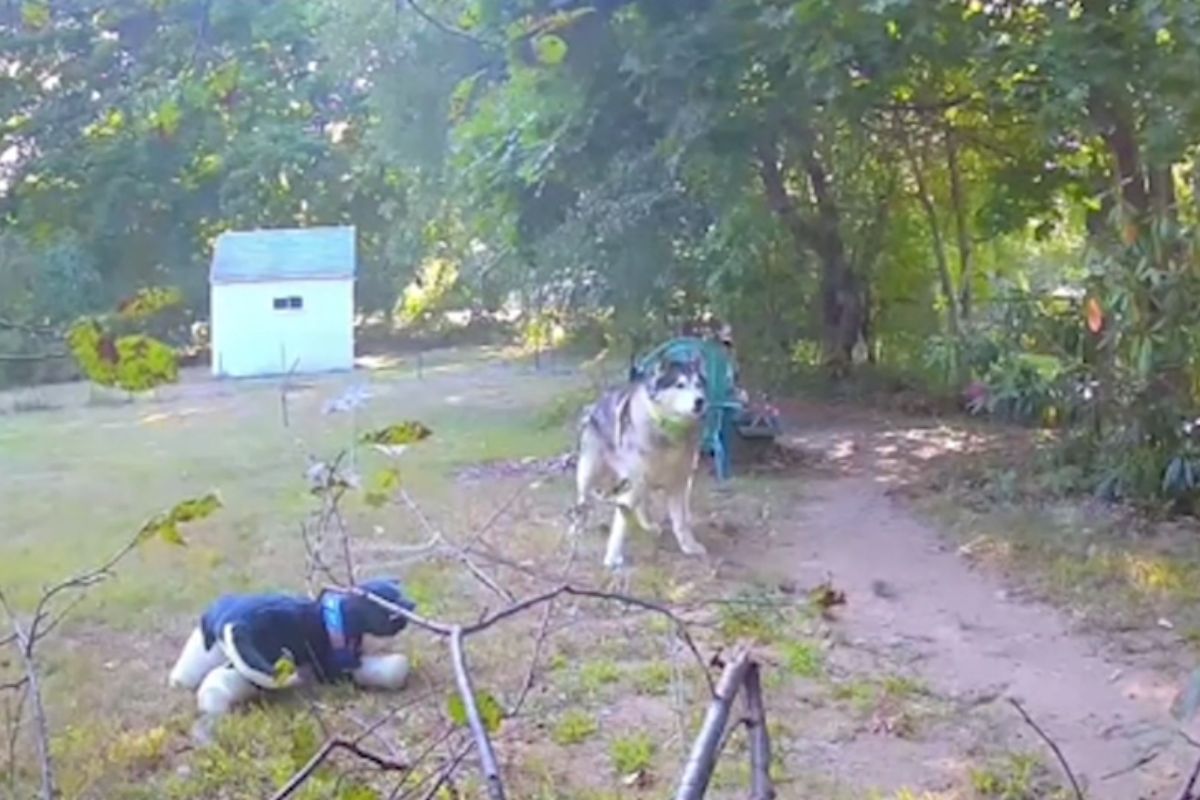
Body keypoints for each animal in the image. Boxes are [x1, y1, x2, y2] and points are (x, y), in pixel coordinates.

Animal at [166, 578, 415, 714]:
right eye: (392, 608)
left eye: (400, 593)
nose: (412, 604)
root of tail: (231, 622)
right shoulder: (329, 666)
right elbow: (357, 668)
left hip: (212, 646)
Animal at [573, 357, 705, 568]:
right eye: (680, 385)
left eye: (699, 385)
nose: (700, 401)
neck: (667, 432)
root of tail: (596, 404)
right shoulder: (633, 483)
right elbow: (620, 525)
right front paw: (612, 558)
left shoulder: (678, 484)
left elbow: (681, 522)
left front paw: (689, 547)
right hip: (590, 472)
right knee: (583, 500)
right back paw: (578, 525)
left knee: (640, 503)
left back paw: (648, 525)